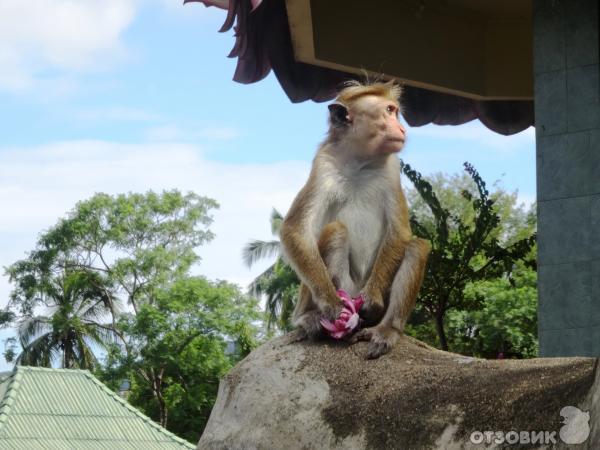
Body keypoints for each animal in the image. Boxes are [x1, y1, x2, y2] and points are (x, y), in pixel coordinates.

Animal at [278, 80, 428, 358]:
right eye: (389, 111)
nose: (402, 128)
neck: (361, 161)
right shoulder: (323, 163)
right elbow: (295, 229)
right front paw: (331, 305)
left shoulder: (392, 168)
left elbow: (400, 232)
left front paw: (372, 299)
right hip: (344, 286)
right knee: (335, 230)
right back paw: (309, 316)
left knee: (417, 246)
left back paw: (386, 329)